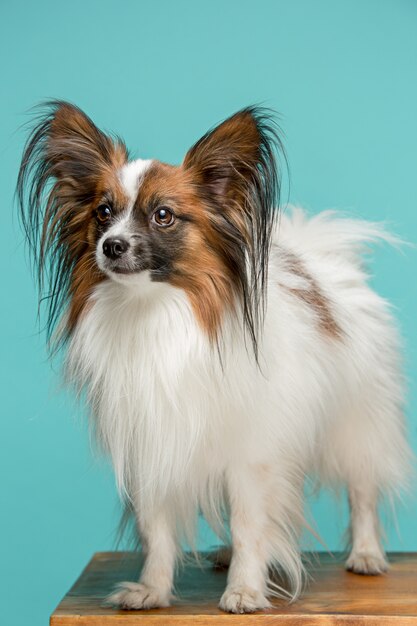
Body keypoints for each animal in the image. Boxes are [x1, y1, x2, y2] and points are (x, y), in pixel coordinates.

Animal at [17, 100, 410, 612]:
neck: (156, 312)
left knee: (362, 490)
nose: (111, 246)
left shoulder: (252, 455)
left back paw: (366, 554)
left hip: (355, 422)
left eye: (163, 215)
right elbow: (158, 530)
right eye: (103, 212)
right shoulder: (153, 445)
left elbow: (250, 524)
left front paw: (244, 590)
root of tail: (326, 264)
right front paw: (152, 589)